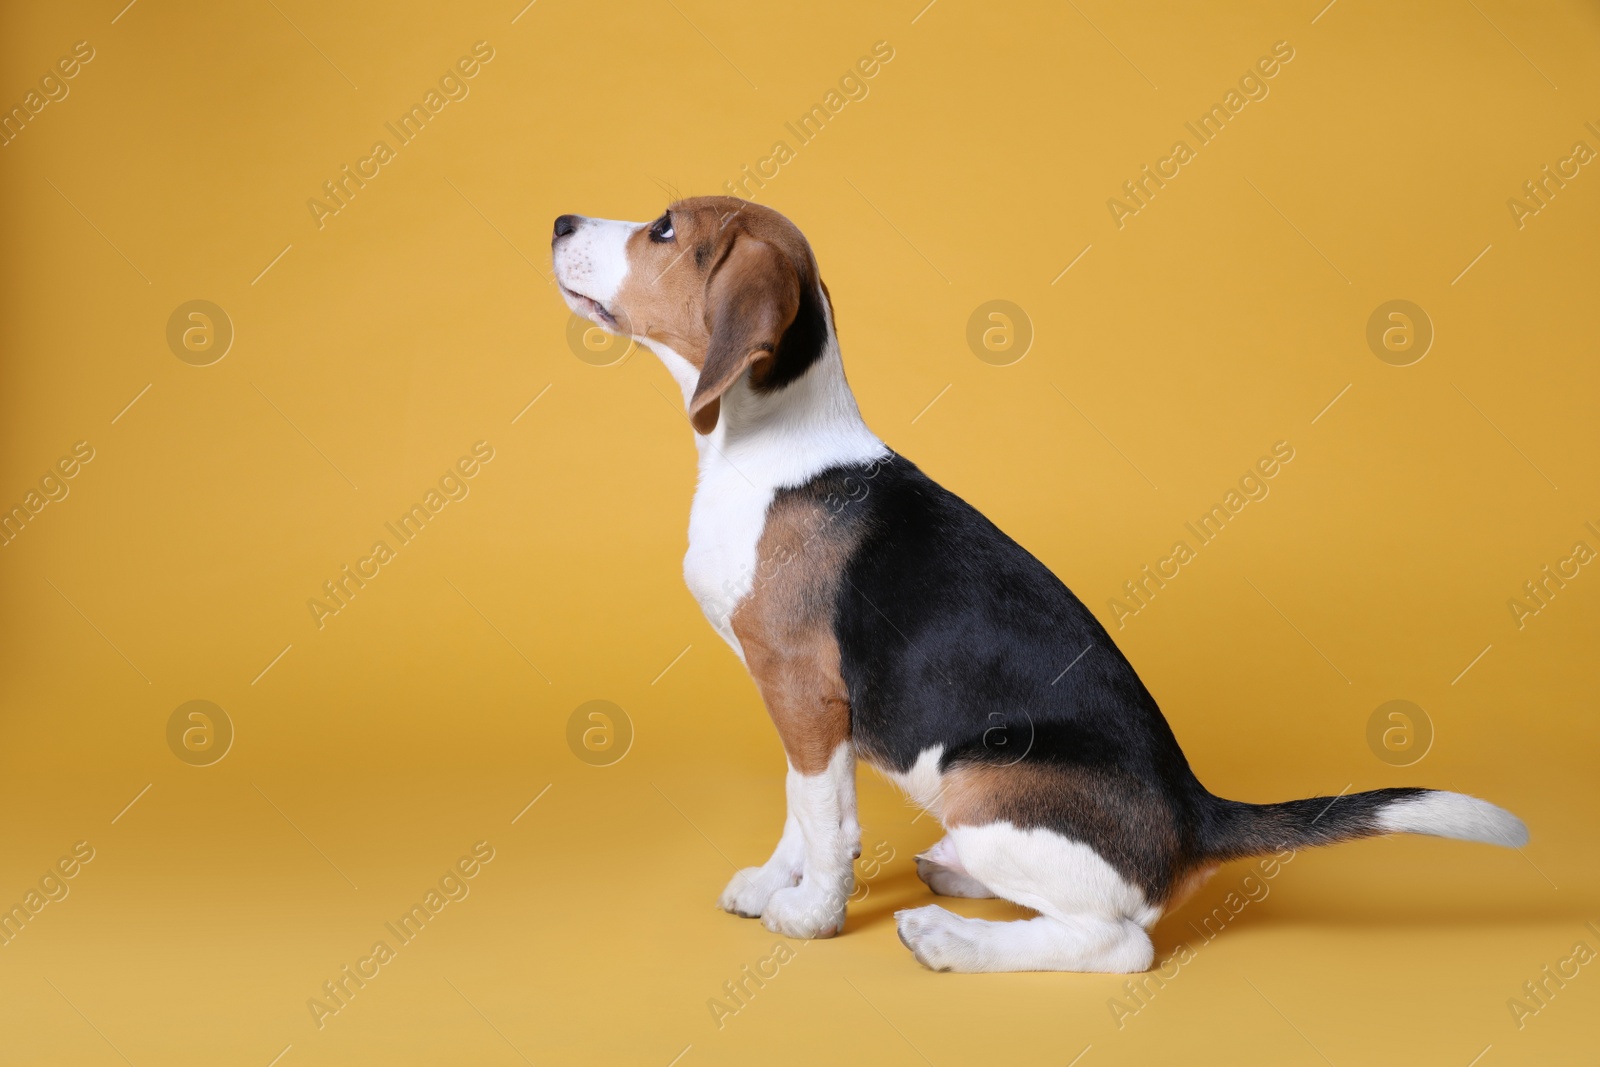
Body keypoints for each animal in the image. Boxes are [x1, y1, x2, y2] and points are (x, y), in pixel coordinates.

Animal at [547, 195, 1523, 972]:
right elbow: (801, 804)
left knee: (1119, 942)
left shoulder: (801, 686)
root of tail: (1194, 813)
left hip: (983, 781)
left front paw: (812, 914)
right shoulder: (805, 706)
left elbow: (824, 818)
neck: (774, 442)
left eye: (664, 228)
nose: (558, 221)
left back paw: (951, 938)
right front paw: (771, 882)